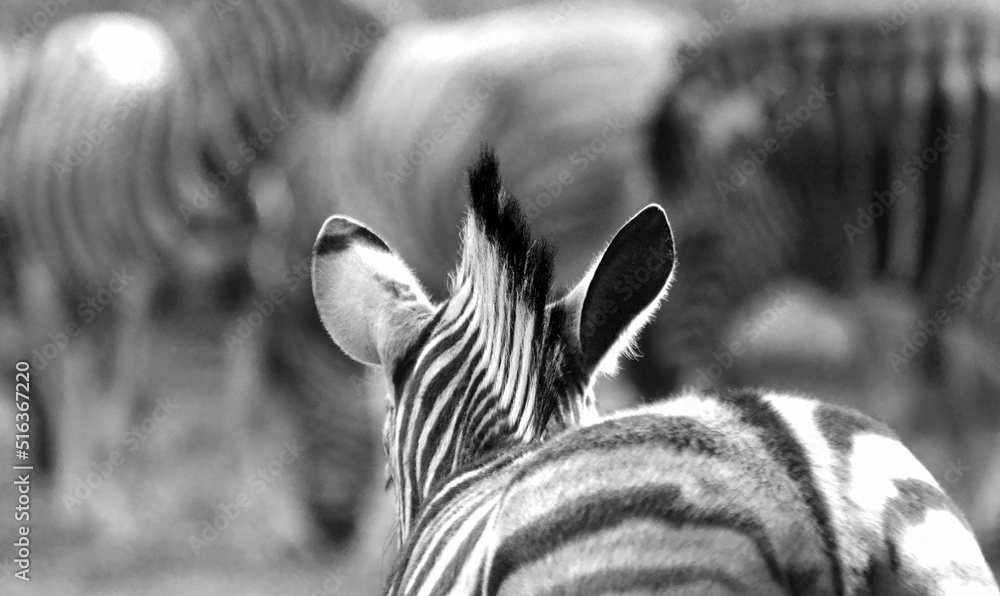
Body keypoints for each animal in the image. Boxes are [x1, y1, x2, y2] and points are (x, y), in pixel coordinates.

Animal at [0, 0, 382, 540]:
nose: (339, 532)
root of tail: (88, 24)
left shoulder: (242, 292)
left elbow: (240, 403)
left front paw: (250, 513)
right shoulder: (135, 289)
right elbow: (131, 401)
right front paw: (116, 516)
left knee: (80, 369)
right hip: (44, 273)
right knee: (62, 376)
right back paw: (74, 499)